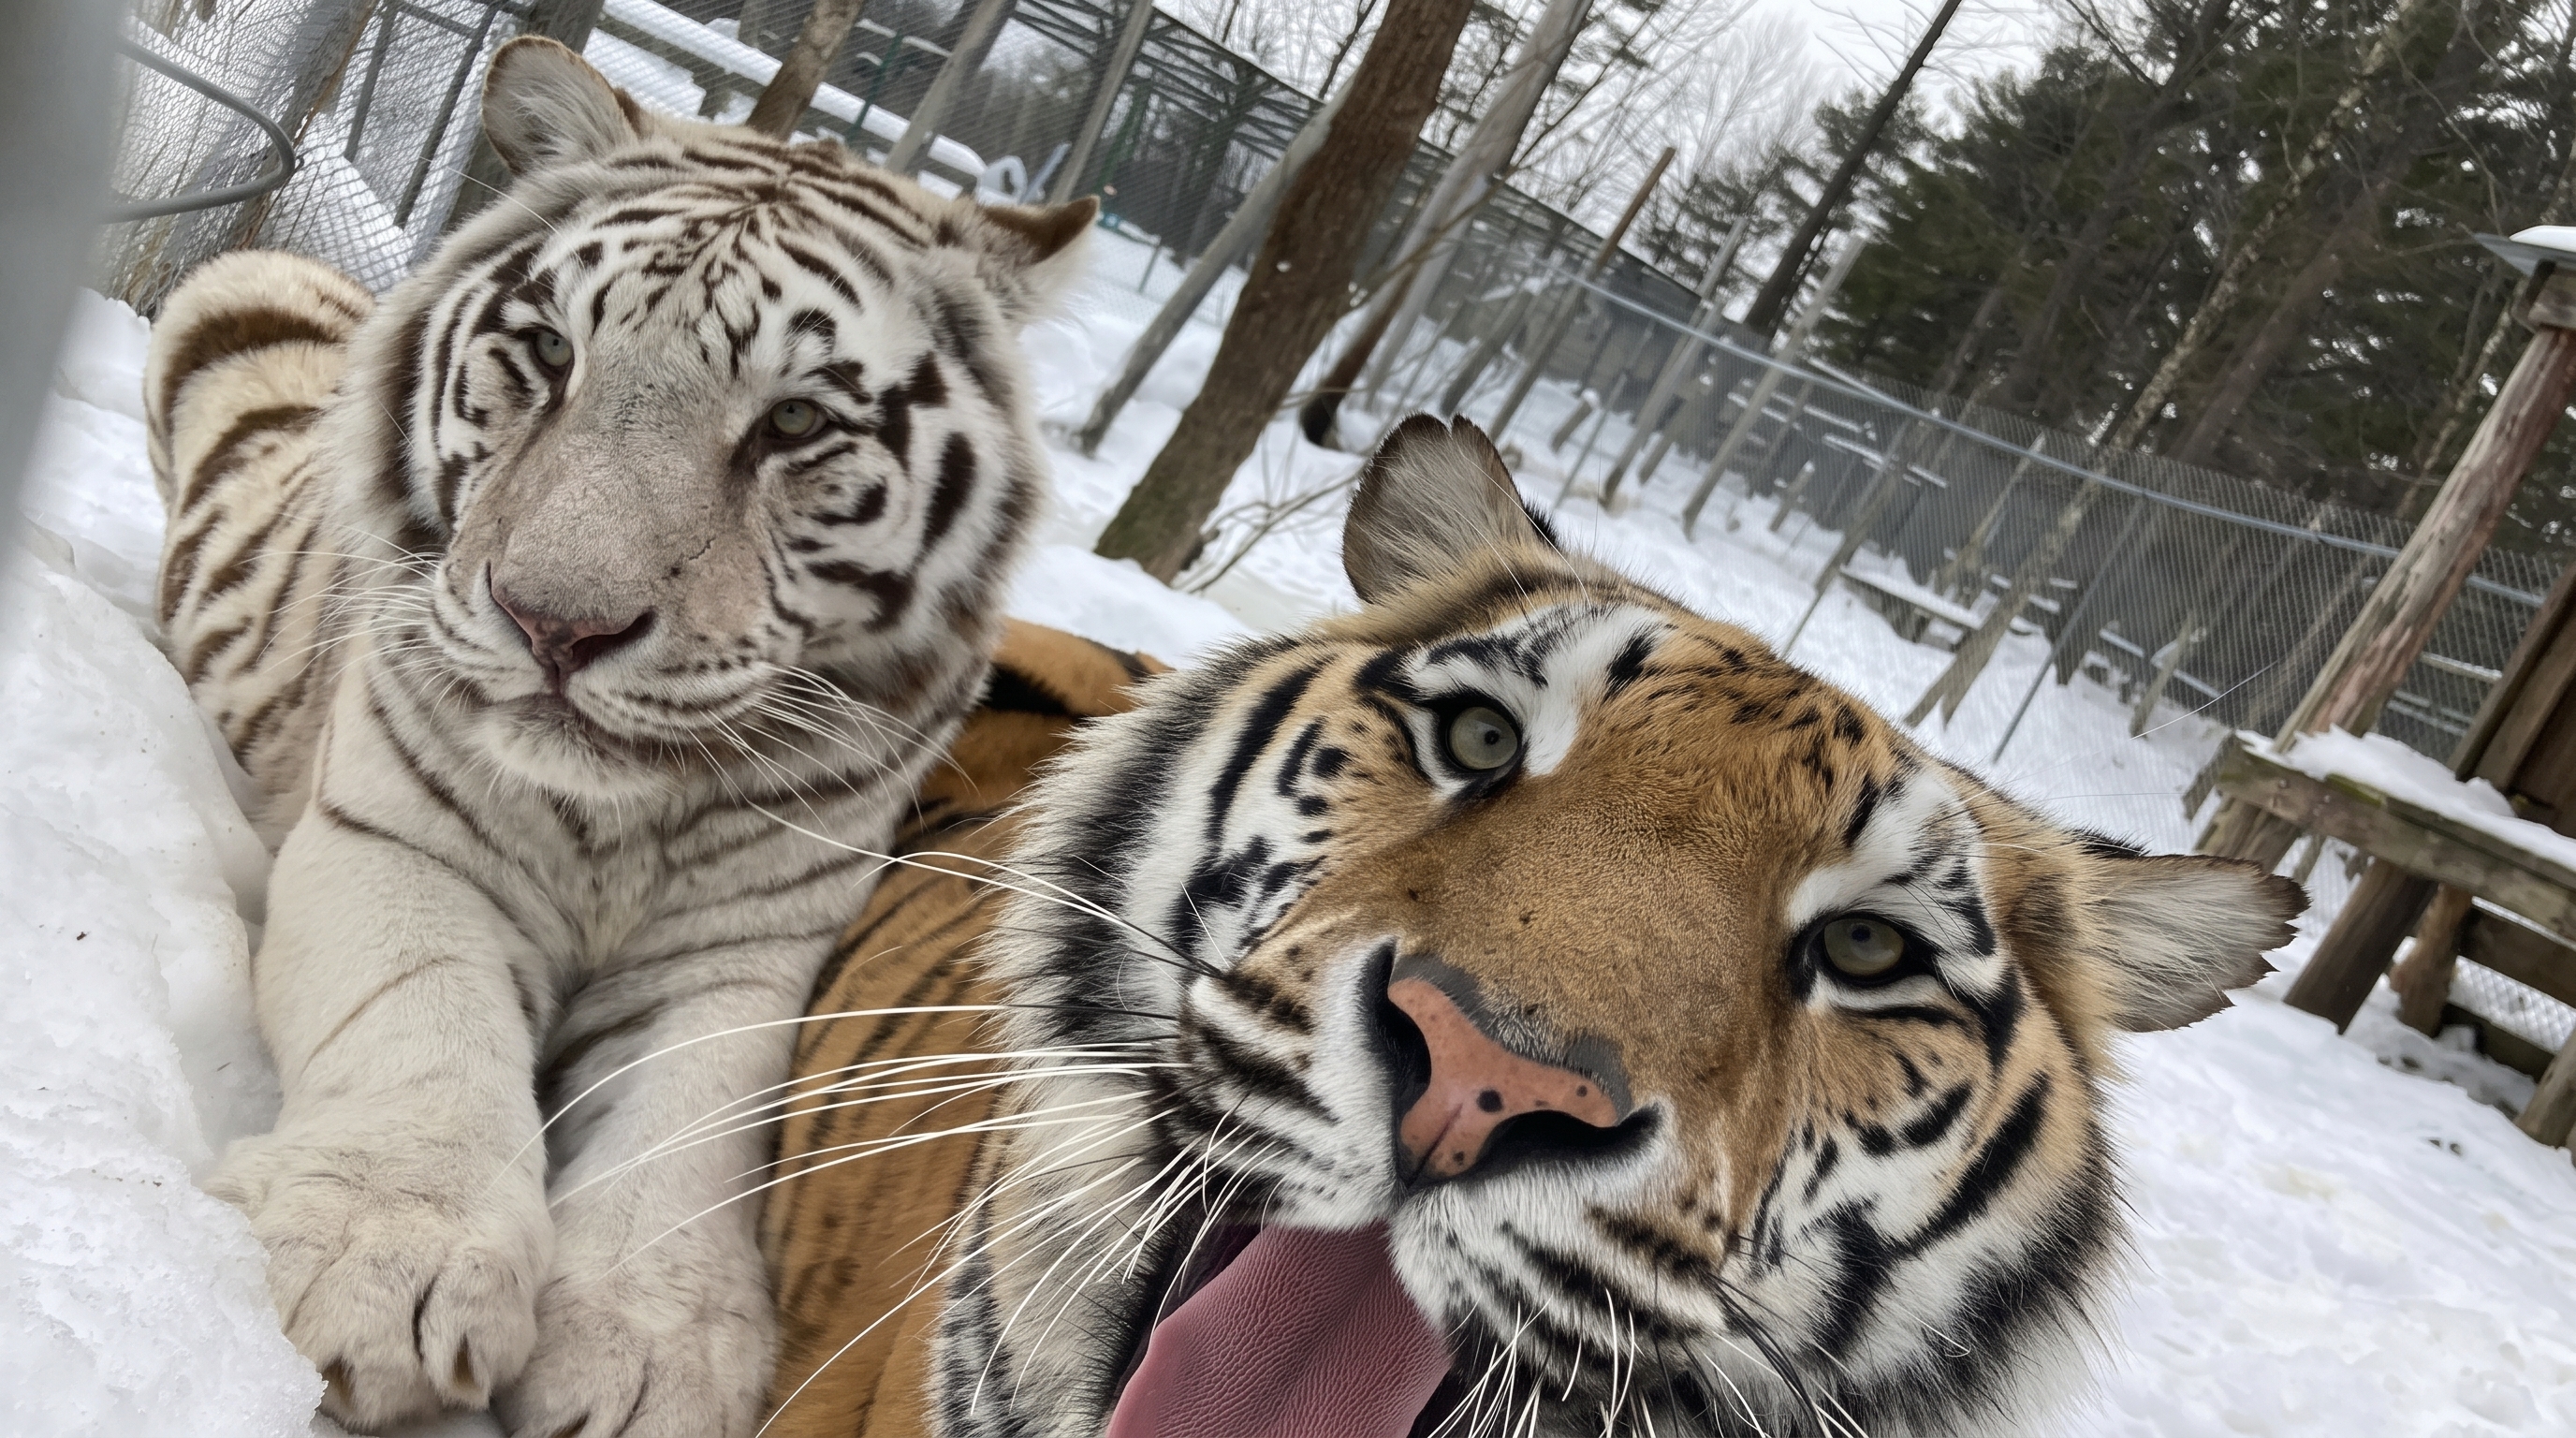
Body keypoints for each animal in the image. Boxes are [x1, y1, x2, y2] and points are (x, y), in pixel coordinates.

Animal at [140, 35, 1092, 1438]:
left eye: (795, 423)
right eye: (547, 352)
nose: (554, 624)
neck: (615, 813)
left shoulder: (745, 951)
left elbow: (689, 1118)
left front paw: (650, 1354)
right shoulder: (396, 844)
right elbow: (424, 1018)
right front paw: (387, 1262)